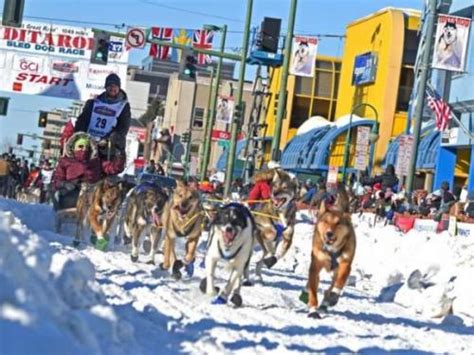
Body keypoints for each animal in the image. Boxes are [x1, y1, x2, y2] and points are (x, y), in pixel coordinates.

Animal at [304, 192, 356, 320]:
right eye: (326, 221)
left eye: (338, 223)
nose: (329, 233)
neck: (331, 250)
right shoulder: (315, 265)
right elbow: (313, 290)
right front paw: (312, 310)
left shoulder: (345, 263)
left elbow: (340, 281)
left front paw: (333, 295)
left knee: (331, 286)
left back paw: (326, 302)